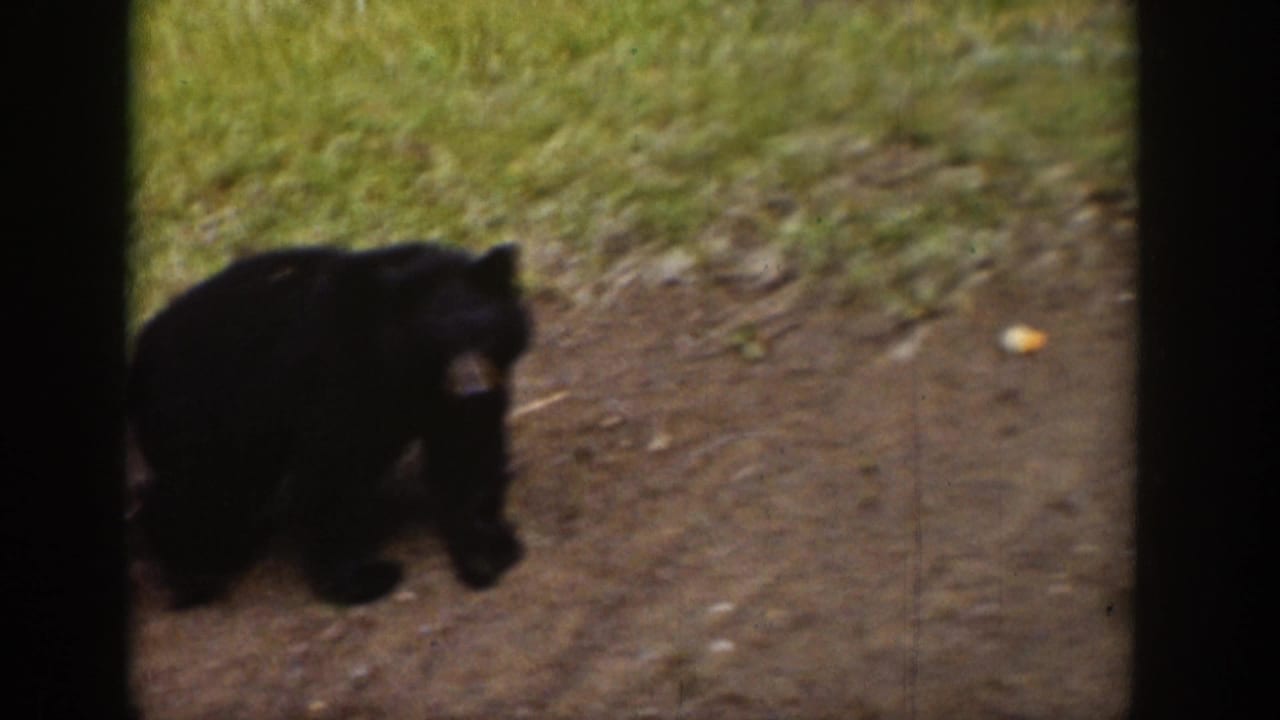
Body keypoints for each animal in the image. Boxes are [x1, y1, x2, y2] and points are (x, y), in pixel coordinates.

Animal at [127, 241, 532, 608]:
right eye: (437, 345)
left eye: (485, 335)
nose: (473, 390)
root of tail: (142, 348)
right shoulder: (338, 379)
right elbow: (334, 473)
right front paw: (365, 578)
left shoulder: (459, 394)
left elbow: (467, 452)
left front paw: (489, 551)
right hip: (206, 417)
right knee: (199, 493)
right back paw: (196, 574)